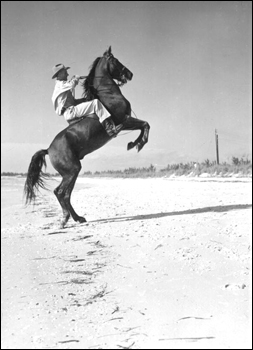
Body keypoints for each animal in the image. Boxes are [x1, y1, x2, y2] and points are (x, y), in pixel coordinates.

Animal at [23, 46, 150, 227]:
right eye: (116, 61)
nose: (130, 74)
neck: (108, 94)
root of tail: (48, 149)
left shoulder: (126, 121)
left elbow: (144, 125)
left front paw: (134, 144)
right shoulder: (124, 120)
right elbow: (145, 124)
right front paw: (137, 144)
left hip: (72, 172)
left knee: (65, 194)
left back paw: (77, 218)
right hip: (72, 170)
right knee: (61, 192)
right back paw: (66, 219)